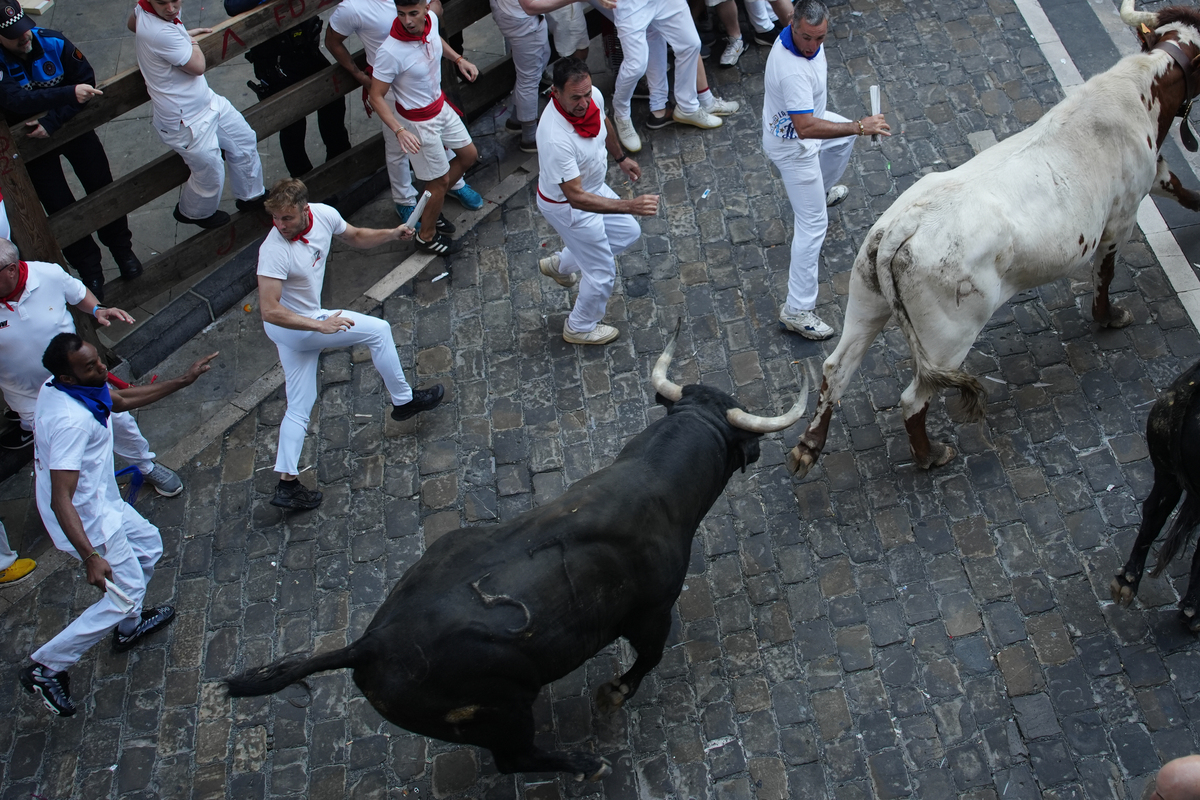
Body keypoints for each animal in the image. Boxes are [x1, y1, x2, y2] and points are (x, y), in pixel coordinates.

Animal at [225, 328, 806, 777]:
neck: (653, 482)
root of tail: (369, 645)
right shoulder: (652, 612)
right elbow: (648, 658)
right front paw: (612, 694)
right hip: (505, 709)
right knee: (515, 760)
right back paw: (587, 764)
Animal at [787, 0, 1200, 479]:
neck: (1138, 91)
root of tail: (902, 227)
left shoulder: (1157, 174)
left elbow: (1186, 192)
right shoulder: (1121, 218)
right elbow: (1105, 275)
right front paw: (1109, 317)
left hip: (866, 301)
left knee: (836, 369)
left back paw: (808, 448)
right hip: (949, 338)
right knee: (913, 398)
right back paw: (930, 456)